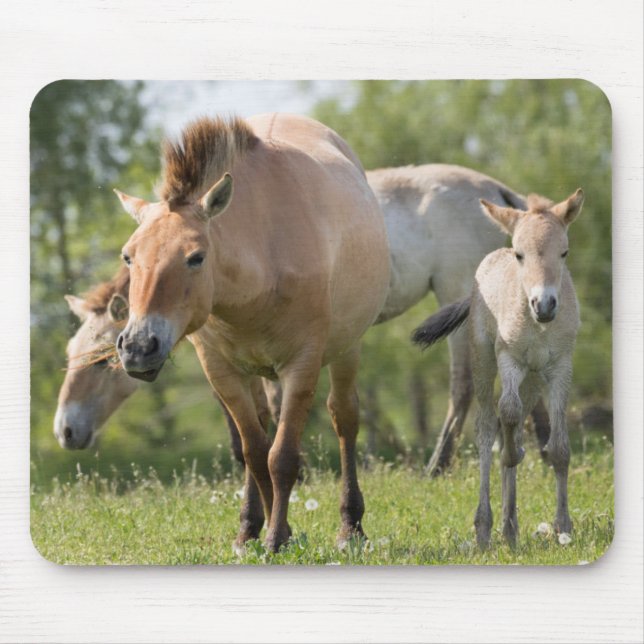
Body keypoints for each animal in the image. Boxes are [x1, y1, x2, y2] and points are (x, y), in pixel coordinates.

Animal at [112, 113, 391, 552]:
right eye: (128, 256)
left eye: (196, 257)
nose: (139, 348)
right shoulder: (222, 372)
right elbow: (256, 451)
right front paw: (273, 532)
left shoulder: (302, 366)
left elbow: (283, 456)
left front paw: (276, 538)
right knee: (260, 430)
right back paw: (251, 525)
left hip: (348, 350)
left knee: (344, 419)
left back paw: (351, 527)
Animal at [412, 189, 583, 548]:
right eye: (520, 255)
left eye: (564, 253)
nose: (544, 305)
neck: (537, 326)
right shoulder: (509, 360)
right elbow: (505, 429)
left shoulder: (560, 367)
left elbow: (559, 449)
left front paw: (563, 528)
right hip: (483, 362)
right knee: (488, 428)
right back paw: (486, 528)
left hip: (533, 381)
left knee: (511, 427)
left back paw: (510, 527)